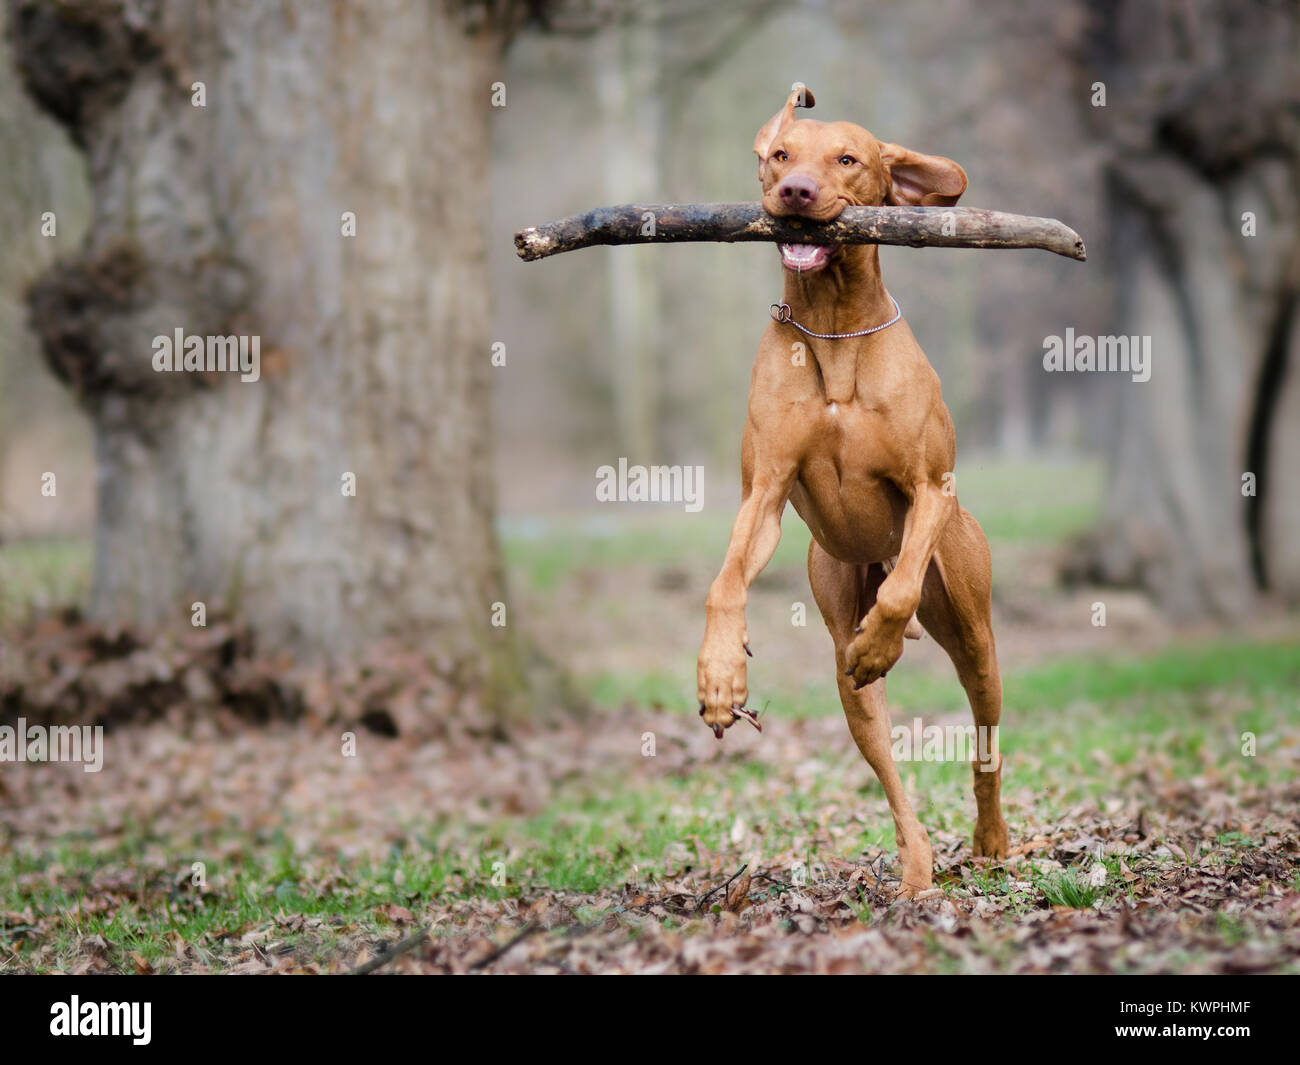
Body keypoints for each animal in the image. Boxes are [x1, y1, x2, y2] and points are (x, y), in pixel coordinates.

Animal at [696, 87, 1008, 894]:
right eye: (781, 155)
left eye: (847, 160)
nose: (797, 193)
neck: (833, 327)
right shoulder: (763, 492)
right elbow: (725, 582)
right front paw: (720, 675)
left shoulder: (930, 486)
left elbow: (898, 590)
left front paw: (881, 637)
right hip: (842, 634)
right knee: (886, 759)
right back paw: (917, 866)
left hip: (974, 630)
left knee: (985, 735)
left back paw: (991, 836)